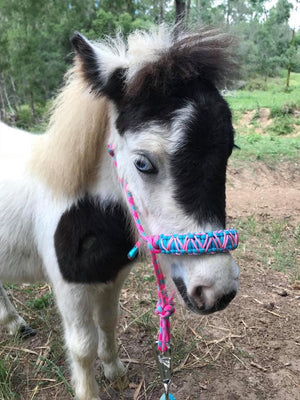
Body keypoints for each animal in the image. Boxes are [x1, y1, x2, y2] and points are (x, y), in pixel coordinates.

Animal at [0, 27, 239, 400]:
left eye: (231, 148)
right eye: (143, 163)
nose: (216, 290)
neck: (86, 213)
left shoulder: (113, 277)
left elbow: (108, 323)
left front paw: (115, 372)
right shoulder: (70, 289)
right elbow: (82, 347)